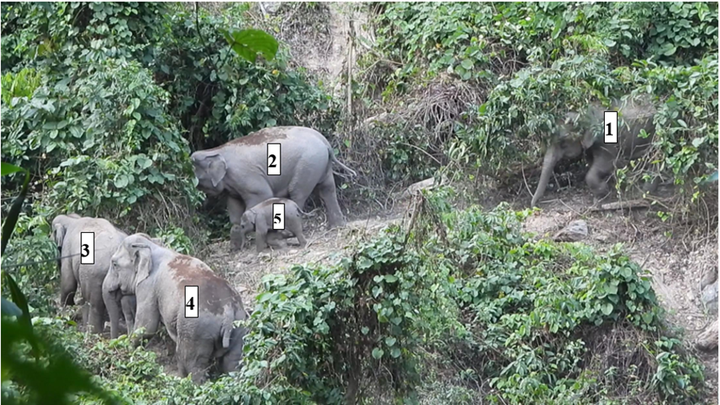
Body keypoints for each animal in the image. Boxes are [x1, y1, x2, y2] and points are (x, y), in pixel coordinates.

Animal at [110, 233, 248, 383]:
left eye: (114, 264)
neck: (152, 246)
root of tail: (228, 309)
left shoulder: (148, 286)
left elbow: (146, 326)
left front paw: (128, 348)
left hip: (196, 329)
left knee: (190, 361)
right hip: (239, 326)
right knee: (233, 362)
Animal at [191, 126, 356, 250]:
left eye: (196, 176)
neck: (216, 150)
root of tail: (325, 141)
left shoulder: (245, 175)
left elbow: (262, 195)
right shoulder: (232, 187)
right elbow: (234, 210)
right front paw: (237, 242)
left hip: (307, 165)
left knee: (298, 194)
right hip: (320, 164)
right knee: (327, 189)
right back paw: (336, 227)